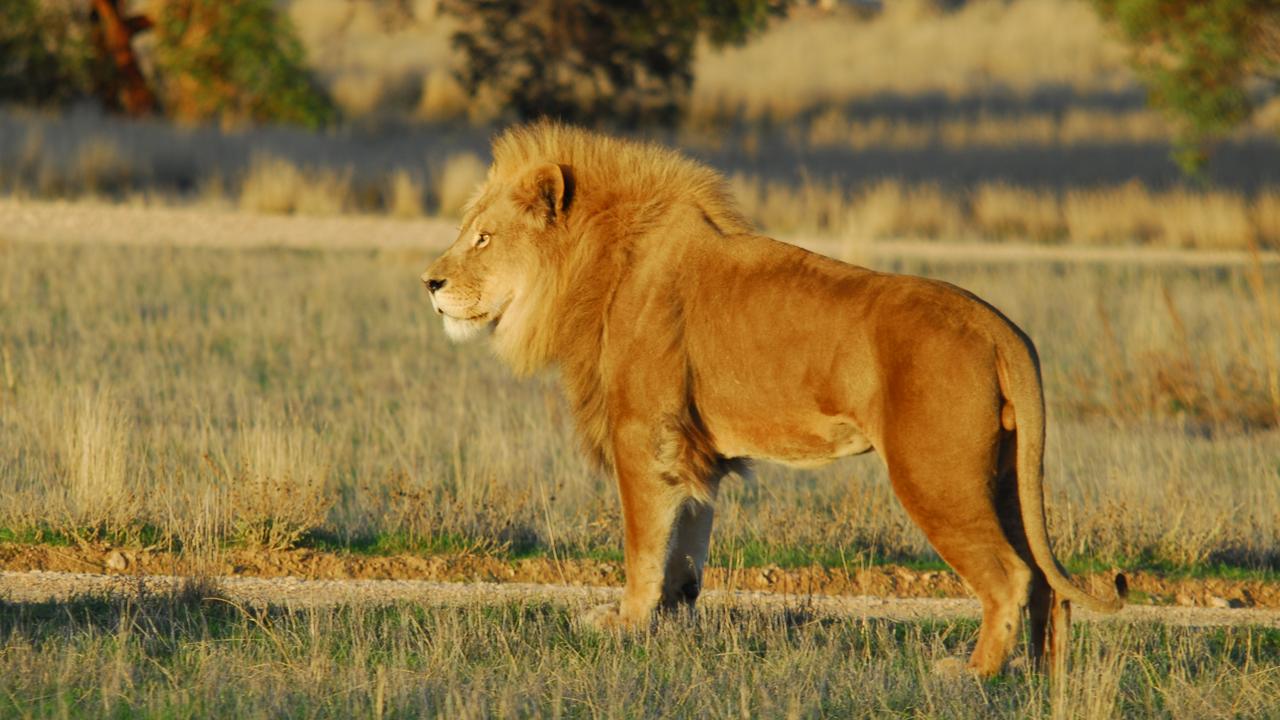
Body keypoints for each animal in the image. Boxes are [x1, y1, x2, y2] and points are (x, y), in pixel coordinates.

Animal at [419, 120, 1121, 676]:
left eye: (483, 238)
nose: (429, 282)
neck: (597, 265)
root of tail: (1000, 327)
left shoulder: (643, 431)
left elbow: (644, 542)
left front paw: (625, 625)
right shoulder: (691, 449)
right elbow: (685, 547)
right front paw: (673, 622)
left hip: (935, 474)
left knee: (1010, 575)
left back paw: (973, 673)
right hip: (1003, 475)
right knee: (1043, 578)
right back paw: (1041, 675)